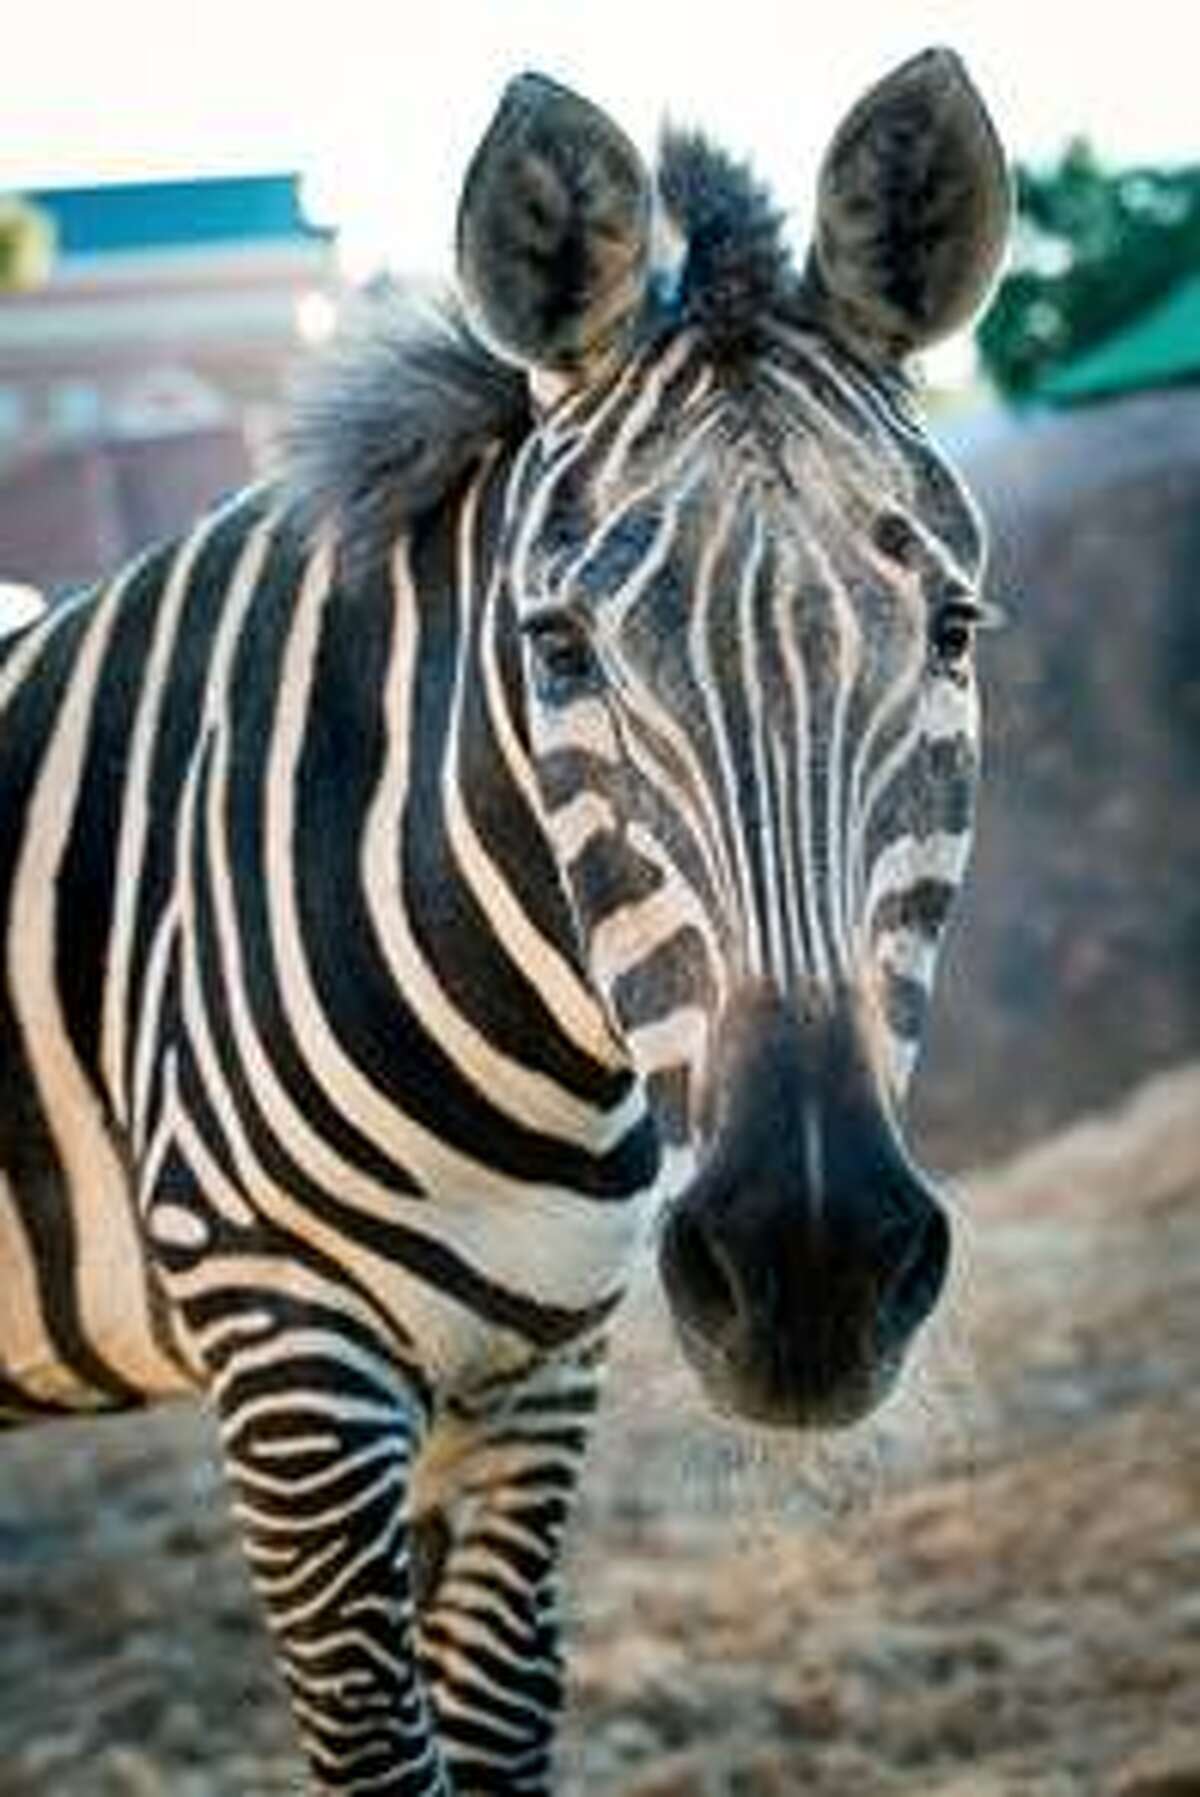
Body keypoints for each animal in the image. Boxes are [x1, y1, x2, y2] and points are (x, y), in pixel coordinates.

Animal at [0, 48, 1009, 1795]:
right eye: (556, 648)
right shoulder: (292, 1358)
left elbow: (502, 1713)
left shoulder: (536, 1374)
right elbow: (374, 1742)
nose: (810, 1272)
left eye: (951, 631)